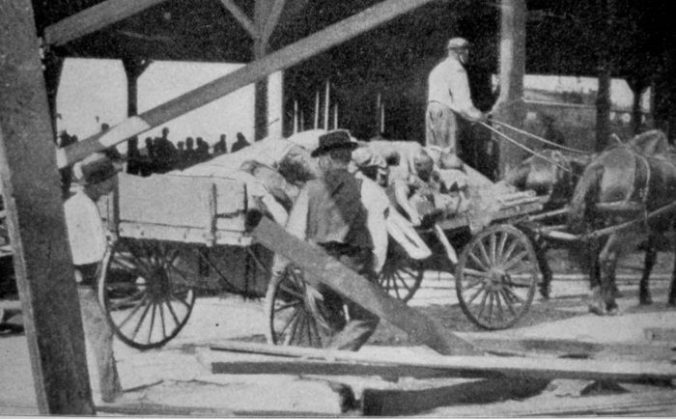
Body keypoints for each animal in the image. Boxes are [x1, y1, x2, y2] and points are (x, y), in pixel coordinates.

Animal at [568, 131, 676, 316]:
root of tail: (600, 166)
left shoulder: (654, 230)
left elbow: (650, 258)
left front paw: (645, 294)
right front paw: (671, 298)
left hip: (596, 225)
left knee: (593, 256)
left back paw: (596, 302)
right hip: (620, 226)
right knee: (607, 257)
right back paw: (611, 304)